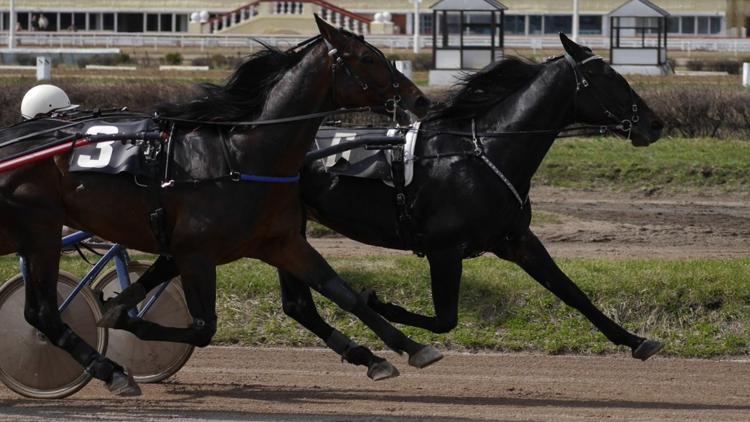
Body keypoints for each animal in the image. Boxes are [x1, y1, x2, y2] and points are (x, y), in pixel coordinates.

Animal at [0, 16, 434, 398]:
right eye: (368, 58)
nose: (421, 99)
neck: (241, 157)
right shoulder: (195, 253)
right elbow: (202, 327)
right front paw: (120, 316)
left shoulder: (282, 242)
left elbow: (343, 292)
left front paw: (406, 350)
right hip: (41, 229)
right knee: (42, 314)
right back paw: (111, 372)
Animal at [280, 34, 668, 362]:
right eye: (609, 77)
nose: (655, 123)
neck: (480, 154)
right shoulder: (444, 249)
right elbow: (445, 320)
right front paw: (378, 302)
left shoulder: (517, 240)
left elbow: (572, 292)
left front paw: (635, 341)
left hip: (287, 230)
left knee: (297, 306)